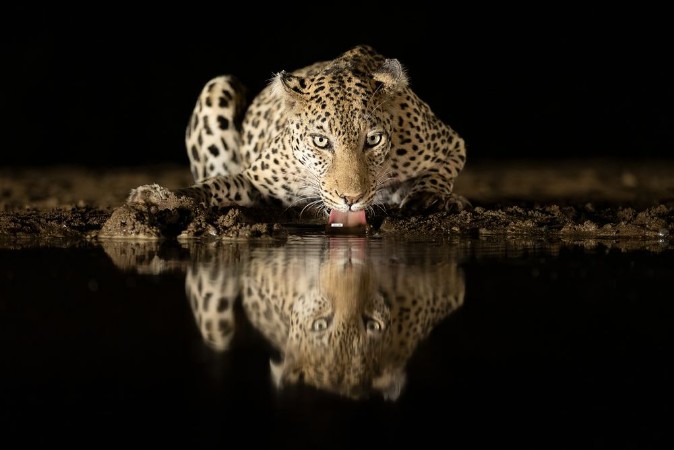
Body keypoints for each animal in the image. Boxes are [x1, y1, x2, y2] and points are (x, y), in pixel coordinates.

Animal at [126, 45, 468, 227]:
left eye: (373, 140)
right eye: (321, 141)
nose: (350, 200)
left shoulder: (450, 143)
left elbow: (443, 170)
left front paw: (429, 197)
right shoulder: (255, 181)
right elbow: (215, 186)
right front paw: (158, 198)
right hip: (217, 85)